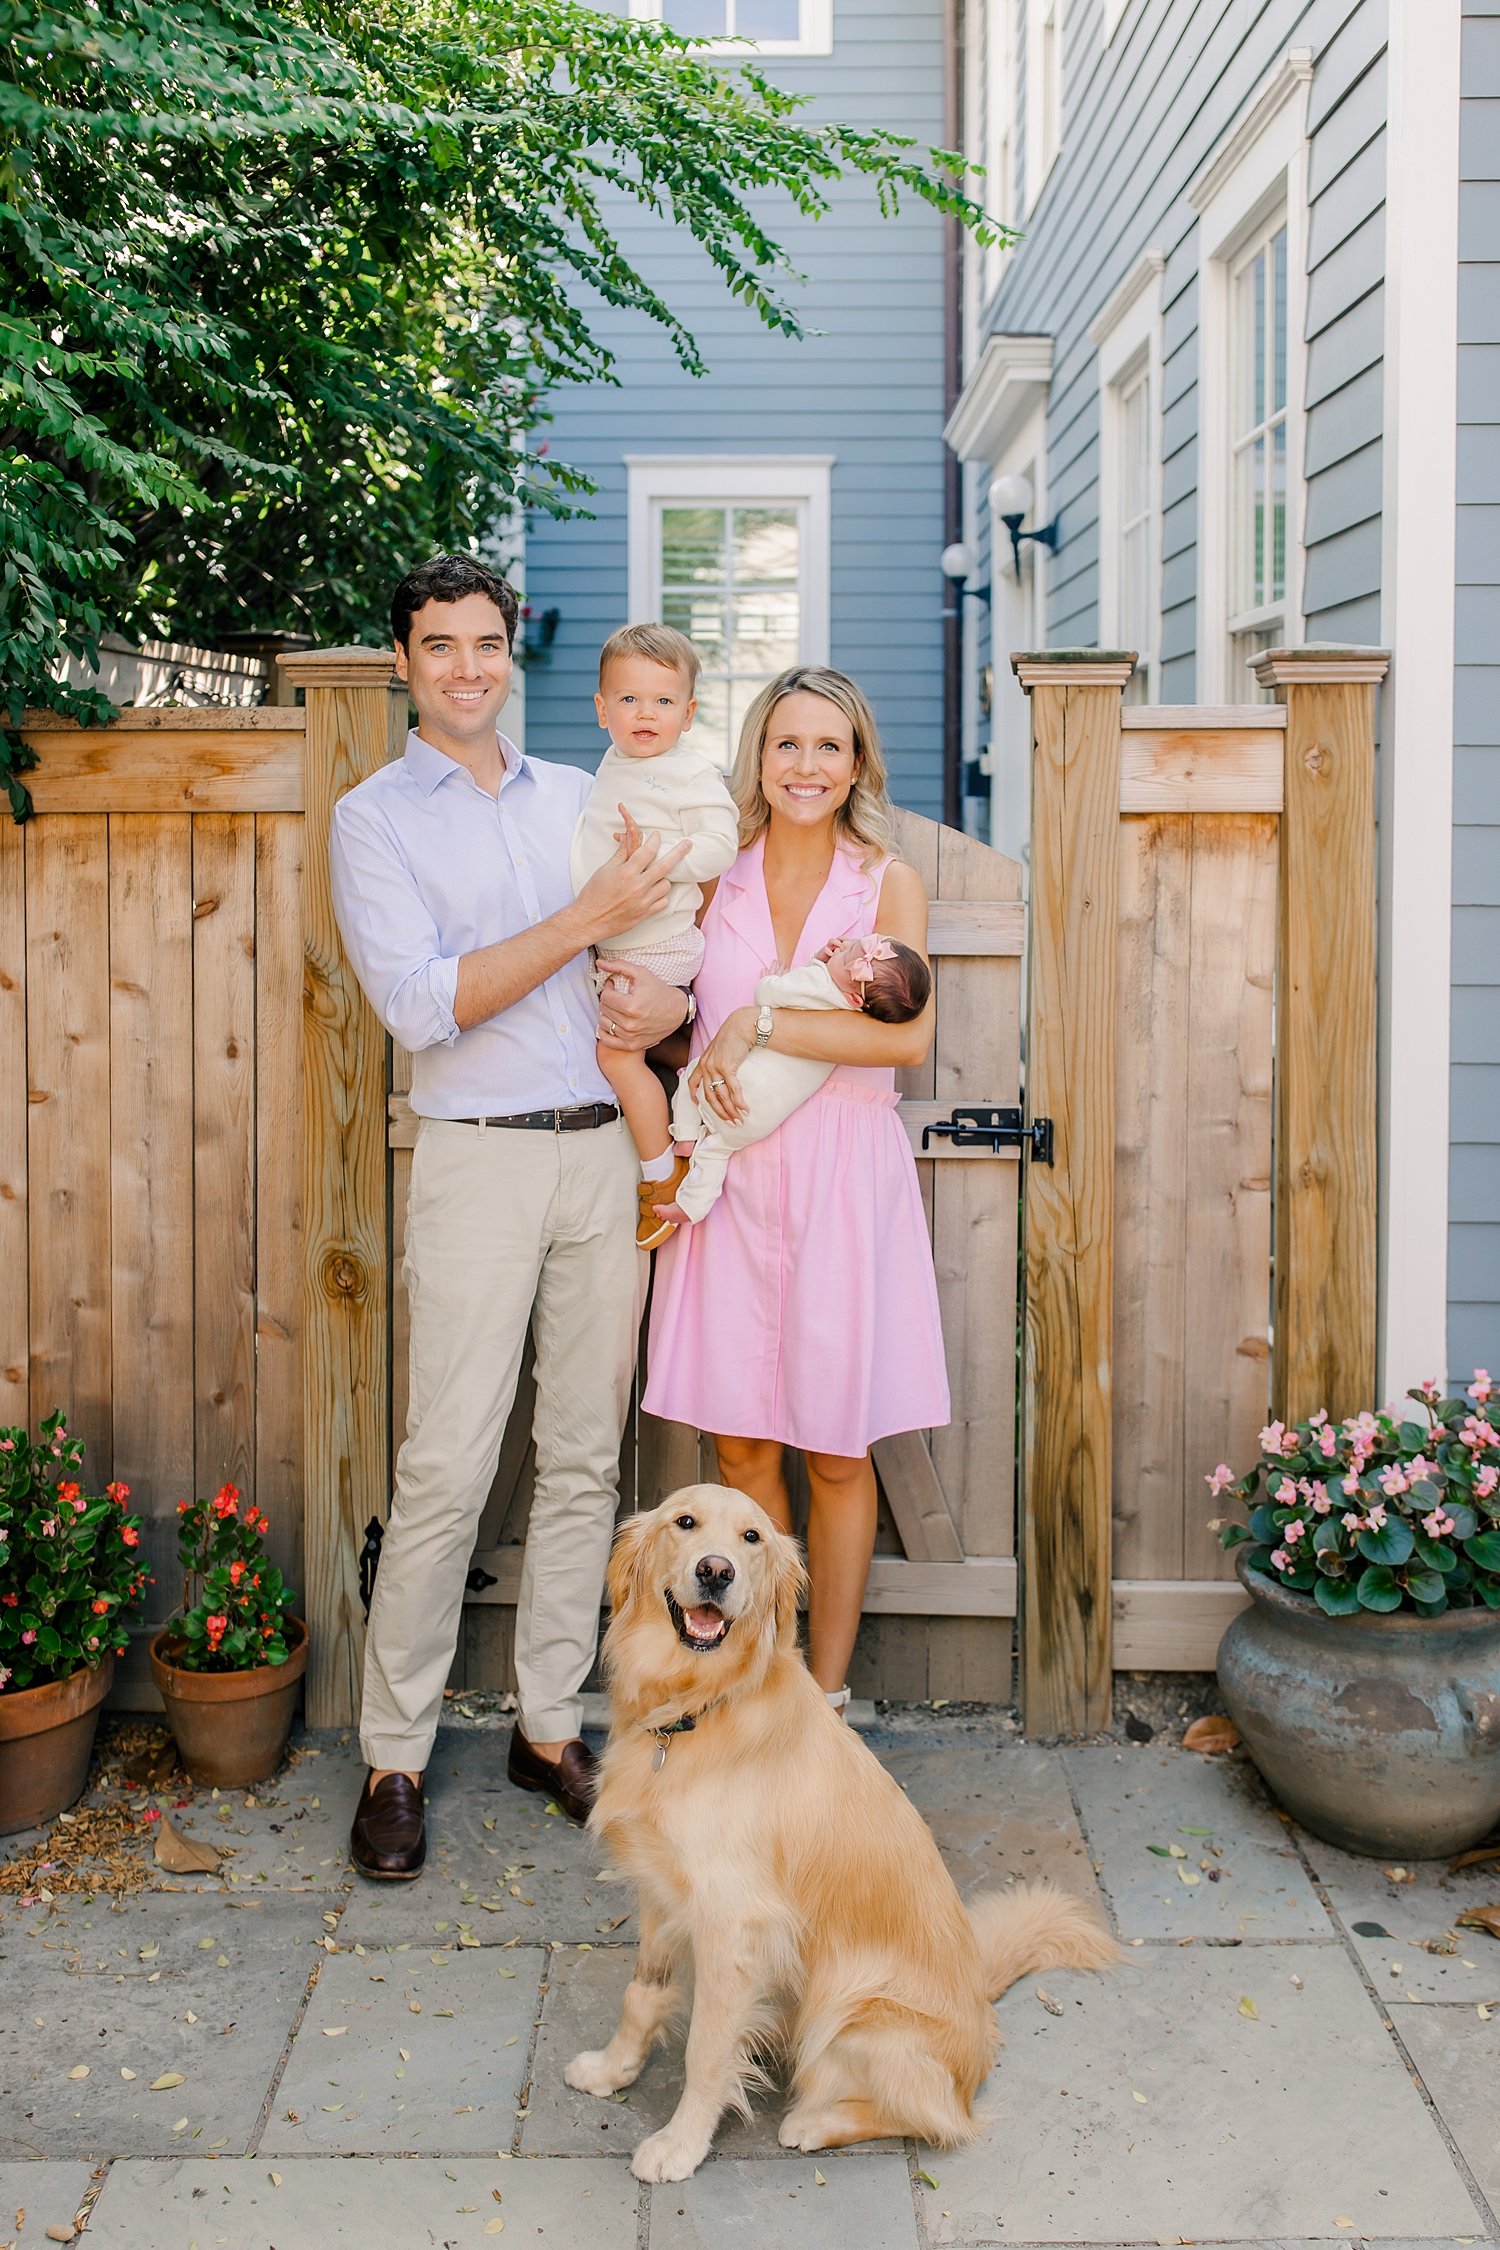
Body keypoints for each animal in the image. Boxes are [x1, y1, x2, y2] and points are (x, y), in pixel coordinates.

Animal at [568, 1494, 1119, 2178]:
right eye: (685, 1523)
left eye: (751, 1537)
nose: (716, 1571)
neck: (696, 1707)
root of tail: (982, 2007)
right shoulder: (661, 1891)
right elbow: (642, 1994)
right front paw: (613, 2069)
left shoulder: (734, 1922)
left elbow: (706, 2050)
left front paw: (680, 2144)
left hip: (852, 2014)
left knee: (940, 2118)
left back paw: (814, 2121)